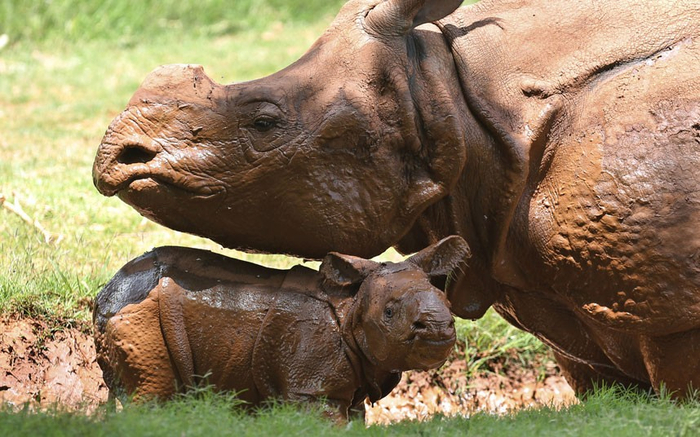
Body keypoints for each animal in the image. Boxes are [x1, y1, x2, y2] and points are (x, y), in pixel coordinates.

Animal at [90, 238, 468, 418]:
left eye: (448, 304)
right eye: (389, 312)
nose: (438, 328)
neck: (353, 305)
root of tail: (106, 293)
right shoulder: (311, 389)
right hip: (140, 314)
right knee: (154, 393)